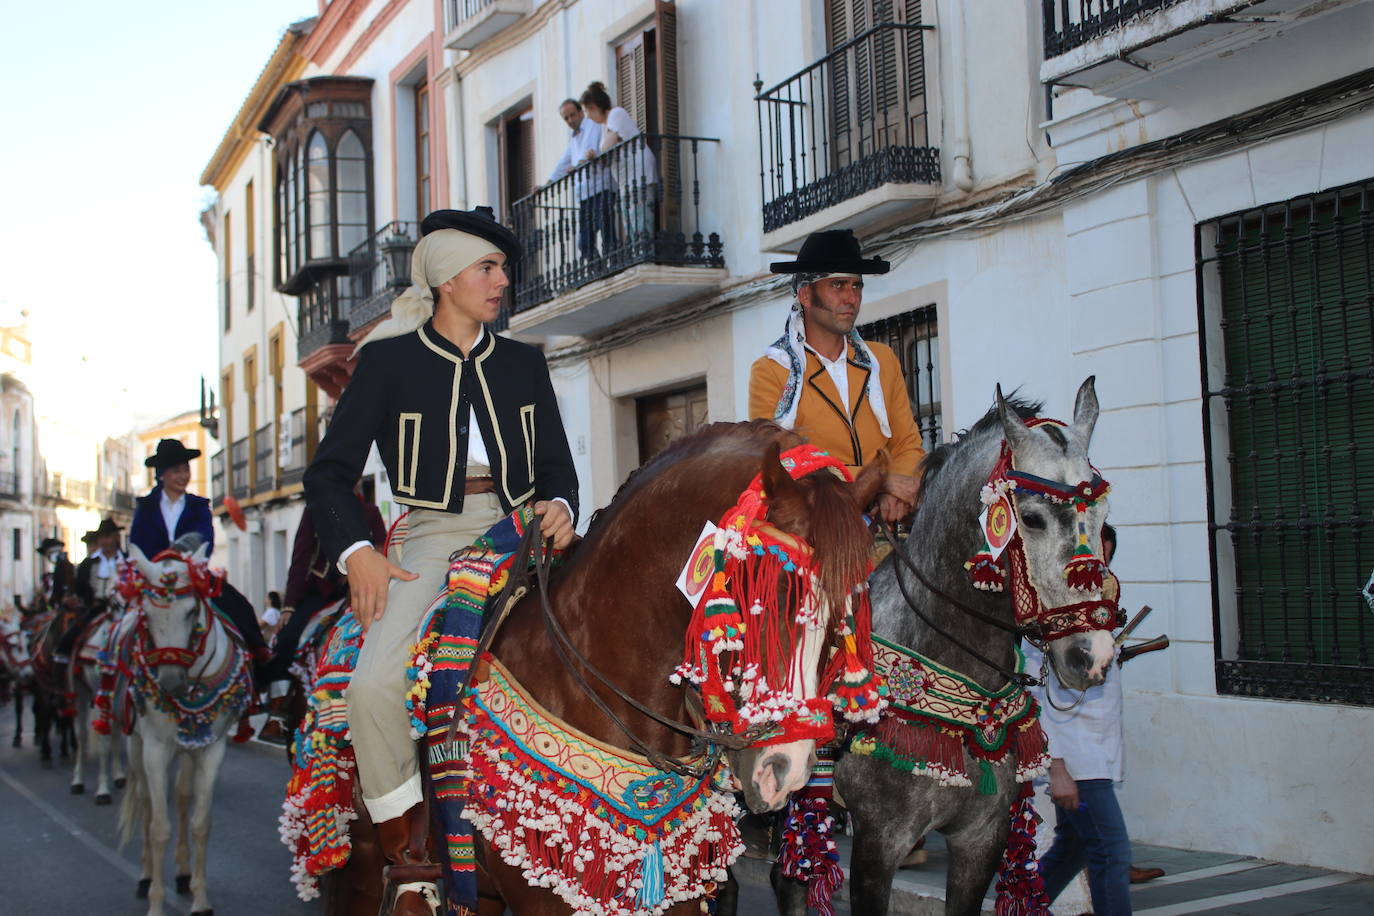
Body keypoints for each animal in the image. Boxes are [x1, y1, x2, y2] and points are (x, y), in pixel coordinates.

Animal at [118, 541, 252, 916]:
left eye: (192, 611)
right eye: (147, 614)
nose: (170, 683)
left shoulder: (212, 749)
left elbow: (201, 823)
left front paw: (200, 899)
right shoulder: (154, 749)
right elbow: (158, 826)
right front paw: (155, 902)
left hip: (188, 750)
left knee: (180, 796)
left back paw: (180, 873)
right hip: (136, 746)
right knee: (147, 802)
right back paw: (147, 876)